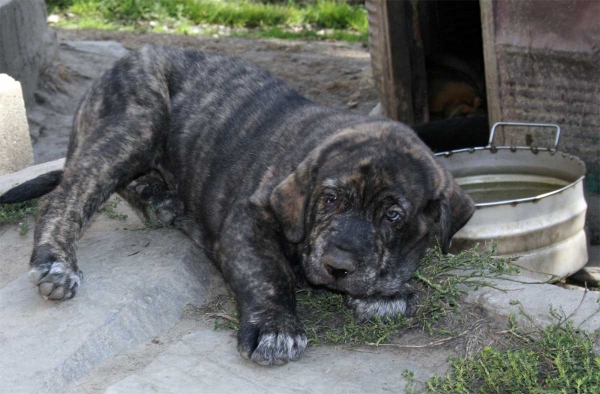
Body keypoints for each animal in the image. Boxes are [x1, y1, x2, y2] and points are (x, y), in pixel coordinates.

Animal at [2, 45, 476, 366]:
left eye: (394, 216)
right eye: (329, 199)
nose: (338, 266)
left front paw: (388, 289)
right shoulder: (249, 217)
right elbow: (266, 274)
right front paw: (274, 327)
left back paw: (160, 200)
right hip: (137, 120)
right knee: (67, 195)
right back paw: (57, 262)